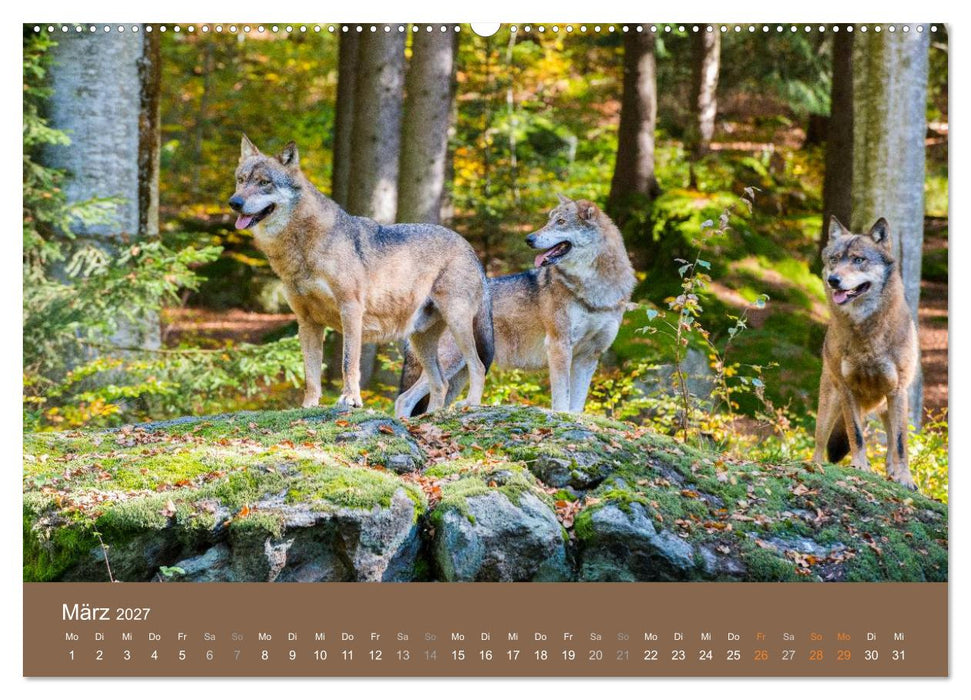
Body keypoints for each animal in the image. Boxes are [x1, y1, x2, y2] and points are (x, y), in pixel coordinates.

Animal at [229, 136, 494, 418]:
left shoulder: (351, 310)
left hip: (457, 326)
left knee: (477, 366)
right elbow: (310, 374)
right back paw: (430, 416)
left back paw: (471, 404)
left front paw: (350, 399)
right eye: (241, 180)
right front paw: (309, 406)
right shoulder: (307, 322)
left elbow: (348, 363)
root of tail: (469, 248)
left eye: (264, 182)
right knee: (440, 383)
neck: (301, 248)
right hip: (422, 341)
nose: (234, 202)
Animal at [397, 194, 636, 416]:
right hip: (452, 363)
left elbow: (576, 405)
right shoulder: (558, 346)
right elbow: (562, 399)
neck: (596, 291)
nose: (529, 238)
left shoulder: (589, 356)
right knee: (404, 398)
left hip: (461, 373)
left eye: (560, 221)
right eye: (549, 220)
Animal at [812, 216, 919, 490]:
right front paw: (860, 466)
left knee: (891, 441)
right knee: (819, 444)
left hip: (889, 407)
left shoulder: (897, 391)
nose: (834, 280)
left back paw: (891, 471)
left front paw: (904, 478)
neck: (866, 332)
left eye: (859, 260)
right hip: (832, 402)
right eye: (835, 259)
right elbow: (856, 434)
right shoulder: (847, 390)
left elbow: (901, 444)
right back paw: (816, 465)